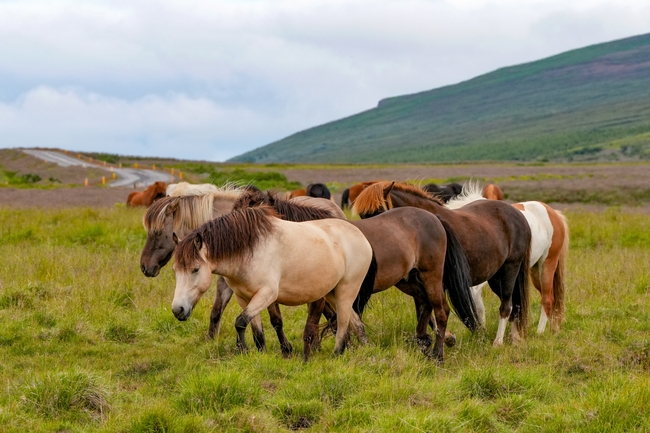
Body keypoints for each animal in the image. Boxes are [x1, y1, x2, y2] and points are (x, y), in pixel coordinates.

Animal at [172, 206, 374, 356]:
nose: (177, 310)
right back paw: (363, 349)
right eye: (175, 270)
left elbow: (240, 321)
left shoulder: (266, 294)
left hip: (346, 290)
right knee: (355, 322)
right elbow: (255, 328)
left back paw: (337, 353)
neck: (249, 249)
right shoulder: (244, 297)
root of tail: (361, 236)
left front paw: (242, 349)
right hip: (332, 293)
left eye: (195, 269)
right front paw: (260, 353)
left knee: (343, 322)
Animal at [353, 181, 531, 346]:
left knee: (507, 305)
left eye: (379, 212)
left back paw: (498, 342)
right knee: (514, 305)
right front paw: (444, 338)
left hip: (510, 268)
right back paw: (515, 338)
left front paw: (446, 338)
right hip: (495, 277)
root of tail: (517, 214)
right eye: (362, 217)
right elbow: (423, 310)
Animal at [446, 183, 569, 333]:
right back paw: (553, 329)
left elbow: (478, 304)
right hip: (534, 271)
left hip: (547, 264)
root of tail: (553, 213)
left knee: (547, 299)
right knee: (552, 297)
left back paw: (540, 332)